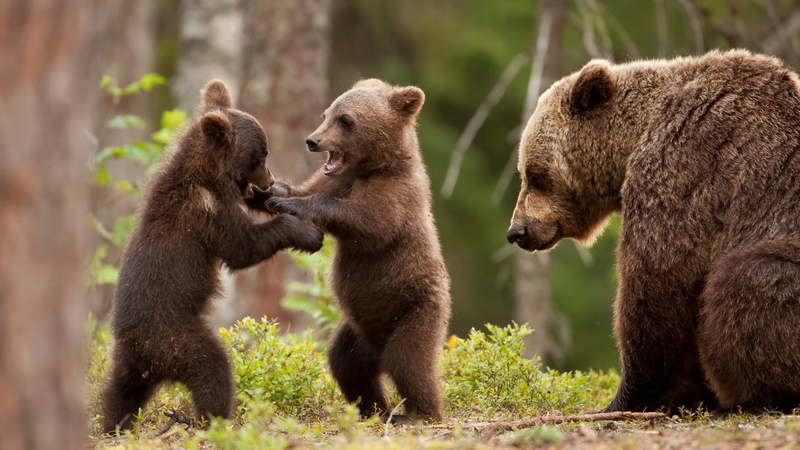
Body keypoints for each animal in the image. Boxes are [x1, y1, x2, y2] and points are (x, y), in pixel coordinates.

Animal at [101, 79, 324, 434]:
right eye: (261, 155)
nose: (270, 180)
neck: (208, 175)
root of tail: (143, 352)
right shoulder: (206, 213)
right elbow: (242, 247)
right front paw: (306, 233)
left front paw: (280, 197)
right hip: (176, 338)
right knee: (212, 368)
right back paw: (212, 418)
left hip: (129, 363)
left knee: (120, 393)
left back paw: (113, 424)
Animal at [265, 79, 451, 422]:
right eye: (326, 113)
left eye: (346, 120)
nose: (312, 140)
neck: (373, 167)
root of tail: (376, 346)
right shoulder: (337, 179)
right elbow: (311, 188)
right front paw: (277, 190)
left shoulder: (396, 195)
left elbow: (369, 223)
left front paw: (292, 203)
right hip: (357, 331)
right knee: (346, 364)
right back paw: (374, 408)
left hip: (415, 310)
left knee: (409, 361)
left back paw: (420, 413)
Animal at [506, 49, 800, 414]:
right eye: (524, 172)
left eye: (535, 175)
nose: (517, 230)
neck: (632, 140)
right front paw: (687, 393)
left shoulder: (687, 167)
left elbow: (657, 281)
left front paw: (627, 397)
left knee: (745, 277)